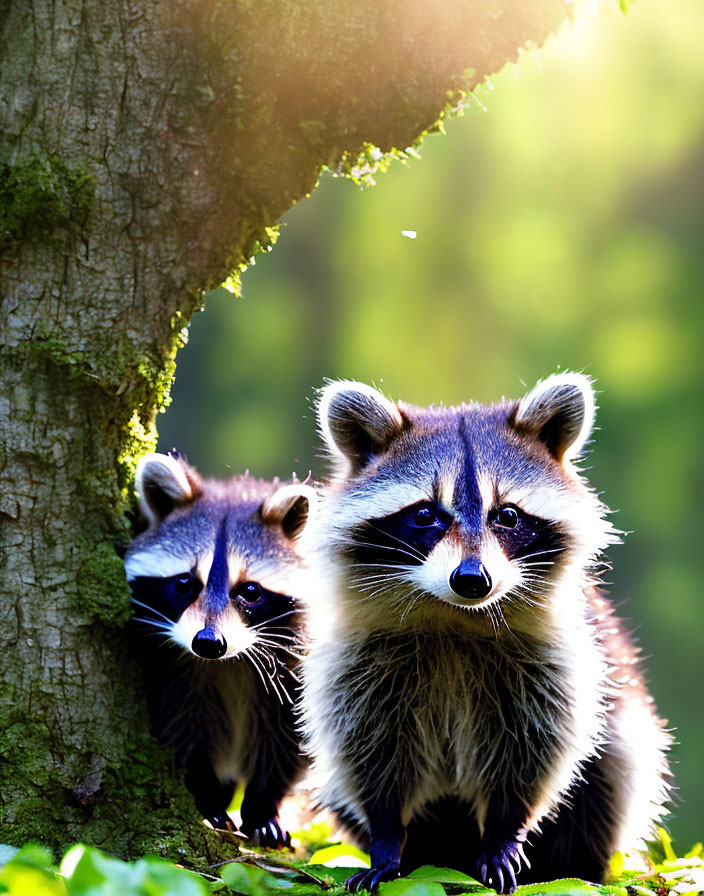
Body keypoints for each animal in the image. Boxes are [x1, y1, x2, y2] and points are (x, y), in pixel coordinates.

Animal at [125, 456, 314, 848]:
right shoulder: (172, 670)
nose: (208, 642)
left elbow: (287, 737)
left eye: (250, 591)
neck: (227, 662)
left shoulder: (296, 661)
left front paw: (263, 804)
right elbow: (181, 731)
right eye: (184, 583)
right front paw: (206, 795)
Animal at [300, 372, 672, 888]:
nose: (473, 579)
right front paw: (386, 836)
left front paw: (504, 831)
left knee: (616, 766)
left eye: (508, 515)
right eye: (425, 514)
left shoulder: (554, 661)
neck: (455, 615)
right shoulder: (355, 660)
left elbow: (535, 750)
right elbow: (367, 749)